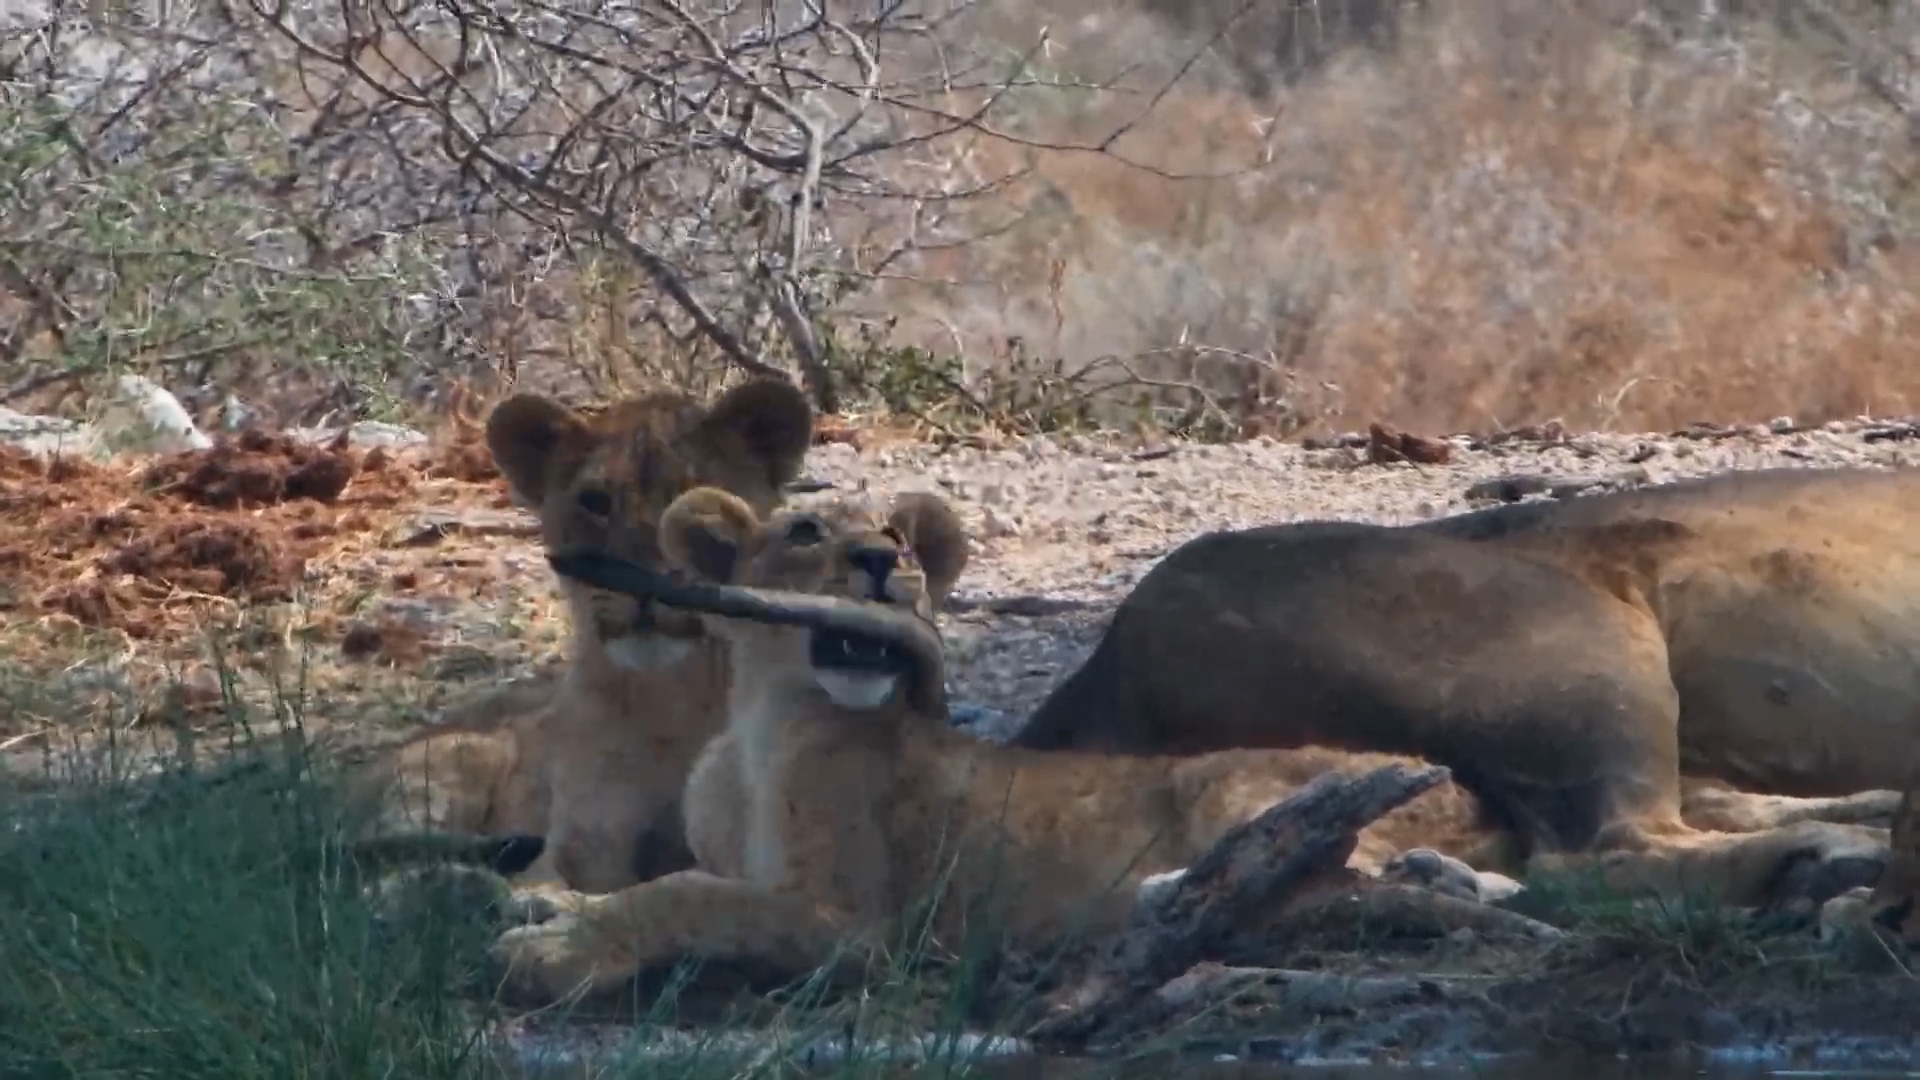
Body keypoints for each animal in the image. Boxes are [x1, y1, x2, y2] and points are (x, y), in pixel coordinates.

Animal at [487, 486, 1893, 1006]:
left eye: (889, 530)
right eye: (807, 532)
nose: (886, 565)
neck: (758, 726)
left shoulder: (861, 923)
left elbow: (686, 893)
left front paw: (552, 942)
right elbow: (683, 879)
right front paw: (547, 910)